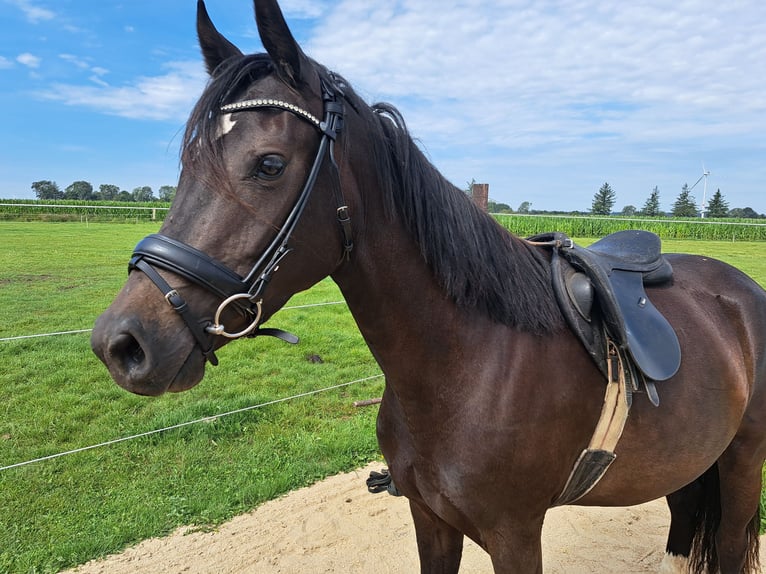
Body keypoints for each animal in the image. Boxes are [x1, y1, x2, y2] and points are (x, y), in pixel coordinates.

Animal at [93, 2, 766, 572]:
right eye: (188, 165)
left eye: (269, 164)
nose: (121, 343)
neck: (468, 363)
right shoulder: (431, 521)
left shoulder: (515, 536)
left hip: (741, 464)